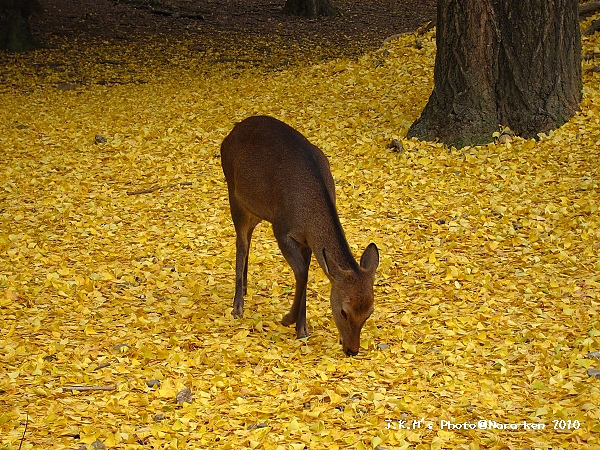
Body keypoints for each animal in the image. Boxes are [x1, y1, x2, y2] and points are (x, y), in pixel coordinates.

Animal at [220, 116, 380, 356]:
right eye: (344, 311)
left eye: (369, 312)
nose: (352, 349)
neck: (307, 218)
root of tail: (231, 133)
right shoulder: (281, 229)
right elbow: (302, 274)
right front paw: (288, 320)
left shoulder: (308, 243)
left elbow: (304, 275)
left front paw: (302, 329)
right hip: (234, 194)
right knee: (241, 243)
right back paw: (238, 306)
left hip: (255, 210)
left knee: (248, 239)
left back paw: (246, 287)